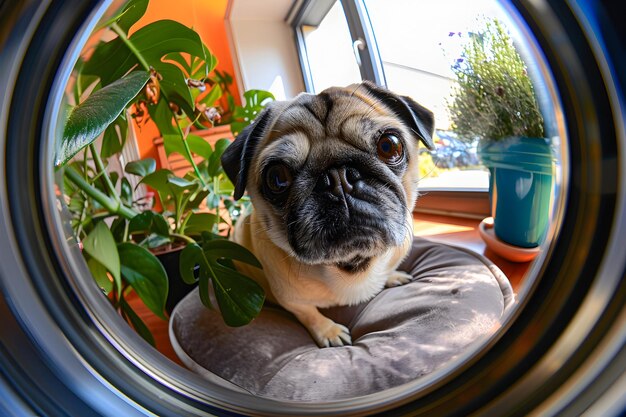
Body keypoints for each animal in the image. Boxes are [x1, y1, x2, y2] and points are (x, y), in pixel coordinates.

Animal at [221, 81, 434, 348]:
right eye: (277, 178)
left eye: (389, 146)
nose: (338, 178)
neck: (351, 265)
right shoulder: (291, 299)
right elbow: (309, 313)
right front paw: (329, 331)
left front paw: (392, 276)